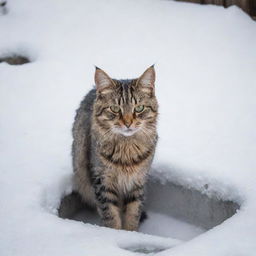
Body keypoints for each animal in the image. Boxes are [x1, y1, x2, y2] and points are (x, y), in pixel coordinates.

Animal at [72, 65, 158, 231]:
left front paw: (131, 232)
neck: (127, 148)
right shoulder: (102, 181)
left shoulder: (138, 182)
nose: (128, 123)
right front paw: (115, 233)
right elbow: (110, 216)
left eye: (139, 108)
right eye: (115, 108)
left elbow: (133, 213)